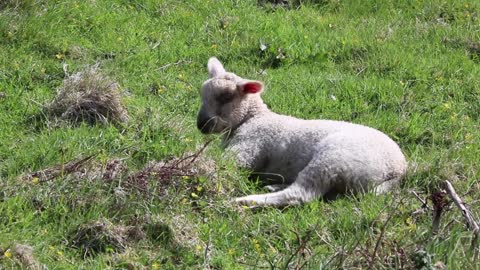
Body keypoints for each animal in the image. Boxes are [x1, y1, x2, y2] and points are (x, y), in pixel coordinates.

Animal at [197, 57, 406, 207]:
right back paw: (274, 186)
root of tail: (397, 170)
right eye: (202, 94)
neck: (253, 118)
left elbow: (224, 163)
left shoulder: (249, 147)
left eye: (226, 97)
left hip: (334, 159)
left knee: (301, 194)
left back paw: (247, 201)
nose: (201, 124)